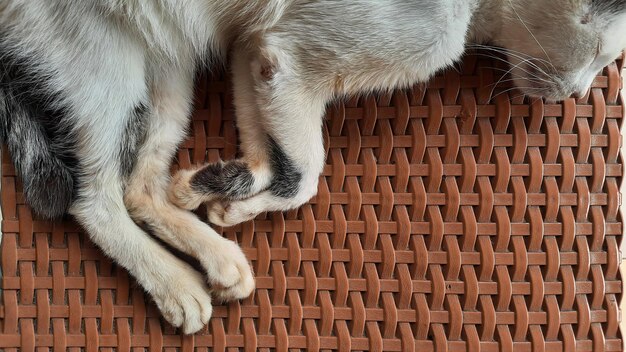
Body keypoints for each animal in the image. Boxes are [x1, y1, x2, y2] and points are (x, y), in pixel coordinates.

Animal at [1, 0, 624, 334]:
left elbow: (286, 165)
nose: (576, 94)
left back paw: (217, 257)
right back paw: (176, 286)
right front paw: (234, 193)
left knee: (140, 187)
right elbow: (308, 167)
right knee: (95, 199)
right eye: (603, 56)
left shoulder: (260, 51)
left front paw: (224, 192)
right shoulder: (290, 56)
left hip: (167, 67)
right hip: (104, 69)